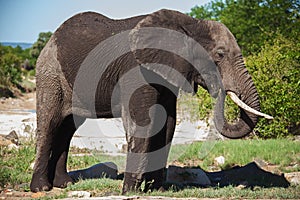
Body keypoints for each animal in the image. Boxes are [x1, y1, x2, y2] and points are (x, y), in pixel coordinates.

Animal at [30, 8, 272, 193]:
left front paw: (158, 189)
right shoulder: (135, 70)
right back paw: (41, 188)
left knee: (67, 129)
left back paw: (64, 185)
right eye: (220, 55)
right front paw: (130, 192)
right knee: (50, 124)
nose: (220, 88)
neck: (189, 23)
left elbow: (168, 125)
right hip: (49, 75)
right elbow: (142, 122)